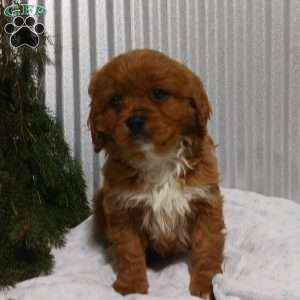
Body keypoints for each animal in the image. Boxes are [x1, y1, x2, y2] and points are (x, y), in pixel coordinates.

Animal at [88, 48, 225, 298]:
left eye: (159, 94)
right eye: (115, 100)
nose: (134, 121)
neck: (158, 159)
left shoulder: (205, 203)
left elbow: (208, 247)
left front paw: (206, 285)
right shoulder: (122, 210)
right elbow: (129, 250)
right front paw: (131, 286)